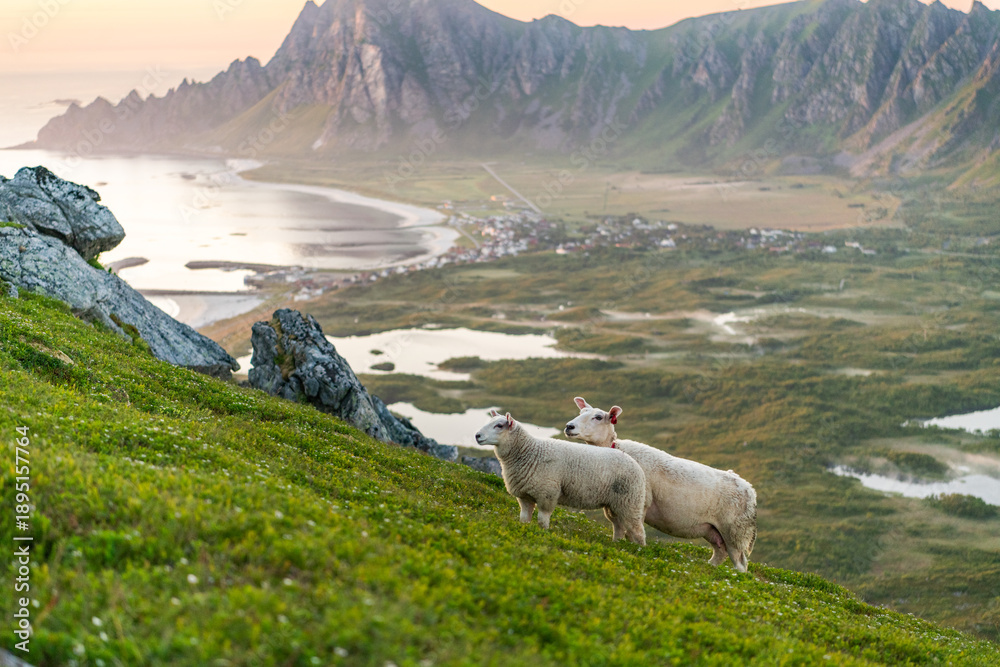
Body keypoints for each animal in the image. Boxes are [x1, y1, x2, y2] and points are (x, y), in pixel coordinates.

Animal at [475, 410, 648, 545]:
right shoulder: (524, 496)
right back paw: (617, 544)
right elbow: (524, 518)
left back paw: (638, 550)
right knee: (619, 526)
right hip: (615, 504)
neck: (530, 452)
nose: (477, 435)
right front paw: (524, 529)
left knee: (638, 532)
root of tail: (635, 464)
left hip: (630, 502)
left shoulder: (547, 494)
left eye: (499, 425)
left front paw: (543, 534)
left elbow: (542, 520)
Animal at [564, 398, 757, 572]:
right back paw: (710, 568)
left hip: (736, 531)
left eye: (598, 417)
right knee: (720, 552)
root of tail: (750, 489)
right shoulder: (616, 502)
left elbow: (632, 531)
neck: (614, 450)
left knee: (740, 564)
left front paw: (634, 548)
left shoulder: (639, 502)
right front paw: (617, 544)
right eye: (581, 412)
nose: (569, 426)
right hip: (713, 530)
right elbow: (618, 529)